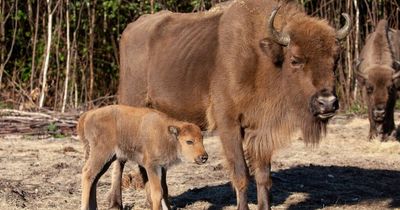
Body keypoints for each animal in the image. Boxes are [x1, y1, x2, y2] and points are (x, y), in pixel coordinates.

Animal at [77, 106, 208, 210]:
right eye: (189, 141)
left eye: (202, 139)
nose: (204, 157)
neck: (167, 135)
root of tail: (87, 115)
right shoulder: (151, 166)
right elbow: (157, 192)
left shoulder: (162, 168)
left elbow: (165, 190)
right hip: (101, 154)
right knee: (88, 173)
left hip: (107, 159)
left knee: (94, 178)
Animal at [112, 0, 350, 209]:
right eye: (295, 60)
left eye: (335, 59)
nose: (327, 103)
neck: (262, 57)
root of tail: (130, 30)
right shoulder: (229, 125)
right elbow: (241, 173)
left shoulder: (260, 130)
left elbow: (263, 175)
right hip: (129, 105)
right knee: (120, 158)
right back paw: (116, 203)